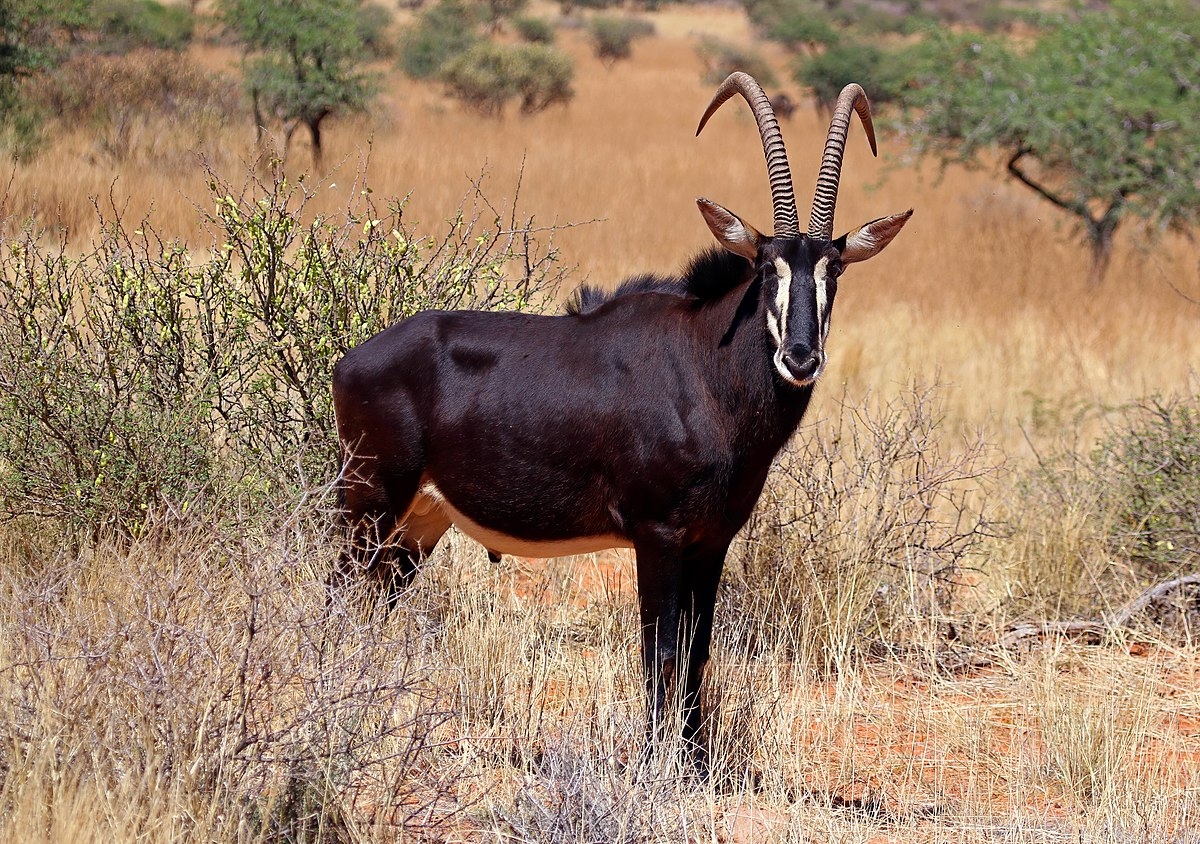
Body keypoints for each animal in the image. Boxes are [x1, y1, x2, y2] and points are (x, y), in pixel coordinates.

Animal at [331, 72, 911, 752]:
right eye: (767, 267)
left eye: (834, 270)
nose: (800, 356)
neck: (704, 369)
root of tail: (352, 360)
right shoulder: (657, 535)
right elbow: (660, 652)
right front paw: (658, 762)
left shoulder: (710, 541)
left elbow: (697, 652)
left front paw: (693, 760)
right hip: (370, 499)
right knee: (341, 597)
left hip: (419, 521)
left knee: (374, 601)